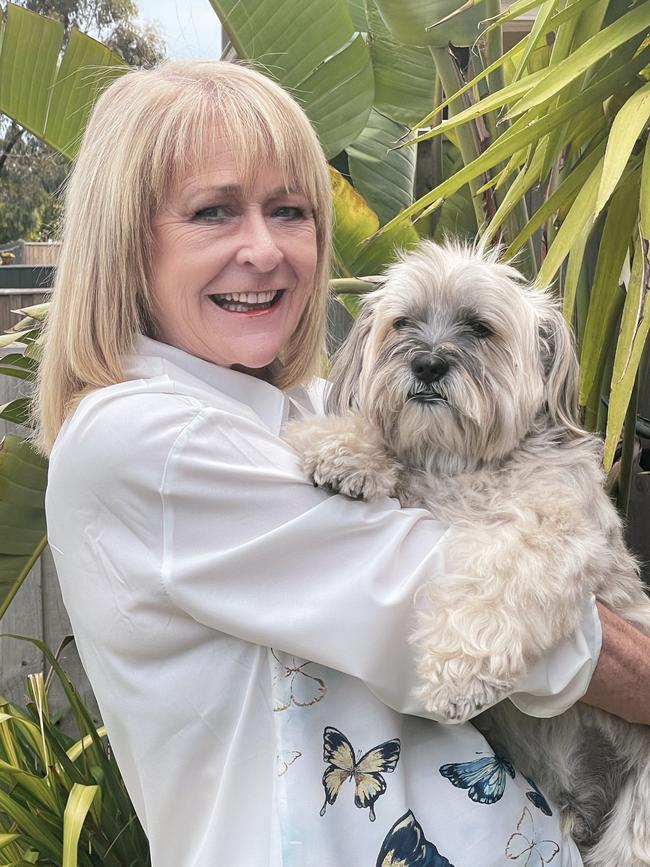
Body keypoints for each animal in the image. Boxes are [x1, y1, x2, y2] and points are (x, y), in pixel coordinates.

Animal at [286, 241, 648, 864]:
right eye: (403, 323)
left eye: (480, 327)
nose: (427, 365)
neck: (459, 462)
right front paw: (344, 447)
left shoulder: (550, 535)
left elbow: (498, 584)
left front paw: (457, 674)